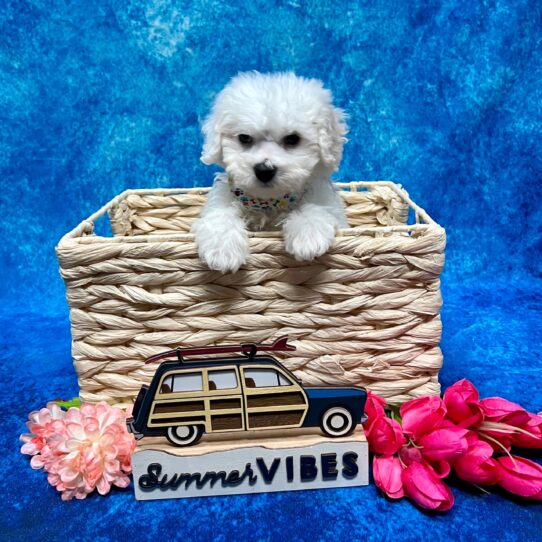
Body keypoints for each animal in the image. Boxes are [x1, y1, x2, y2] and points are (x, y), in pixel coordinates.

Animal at [193, 71, 350, 276]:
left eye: (293, 139)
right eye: (244, 138)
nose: (264, 170)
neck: (269, 202)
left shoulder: (327, 203)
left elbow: (314, 209)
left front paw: (309, 236)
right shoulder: (221, 199)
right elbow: (220, 215)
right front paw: (222, 250)